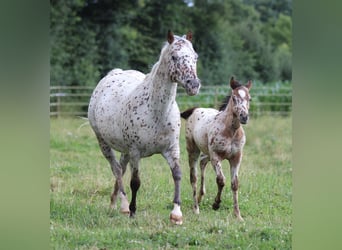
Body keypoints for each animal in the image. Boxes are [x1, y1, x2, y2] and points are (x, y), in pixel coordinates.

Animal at [87, 29, 200, 225]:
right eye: (174, 56)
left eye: (195, 57)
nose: (193, 85)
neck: (156, 112)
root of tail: (112, 74)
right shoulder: (135, 151)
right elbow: (135, 182)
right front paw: (133, 211)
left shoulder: (171, 149)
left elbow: (177, 174)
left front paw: (176, 214)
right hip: (104, 143)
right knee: (116, 170)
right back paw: (124, 206)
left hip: (124, 149)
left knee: (121, 168)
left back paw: (114, 204)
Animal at [180, 76, 250, 221]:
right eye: (234, 98)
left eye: (249, 98)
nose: (244, 117)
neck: (231, 131)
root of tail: (195, 109)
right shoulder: (216, 156)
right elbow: (221, 180)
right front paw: (216, 204)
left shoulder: (236, 158)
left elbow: (235, 184)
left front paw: (238, 215)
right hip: (193, 150)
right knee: (193, 177)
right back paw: (196, 208)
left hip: (207, 153)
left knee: (202, 162)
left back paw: (201, 196)